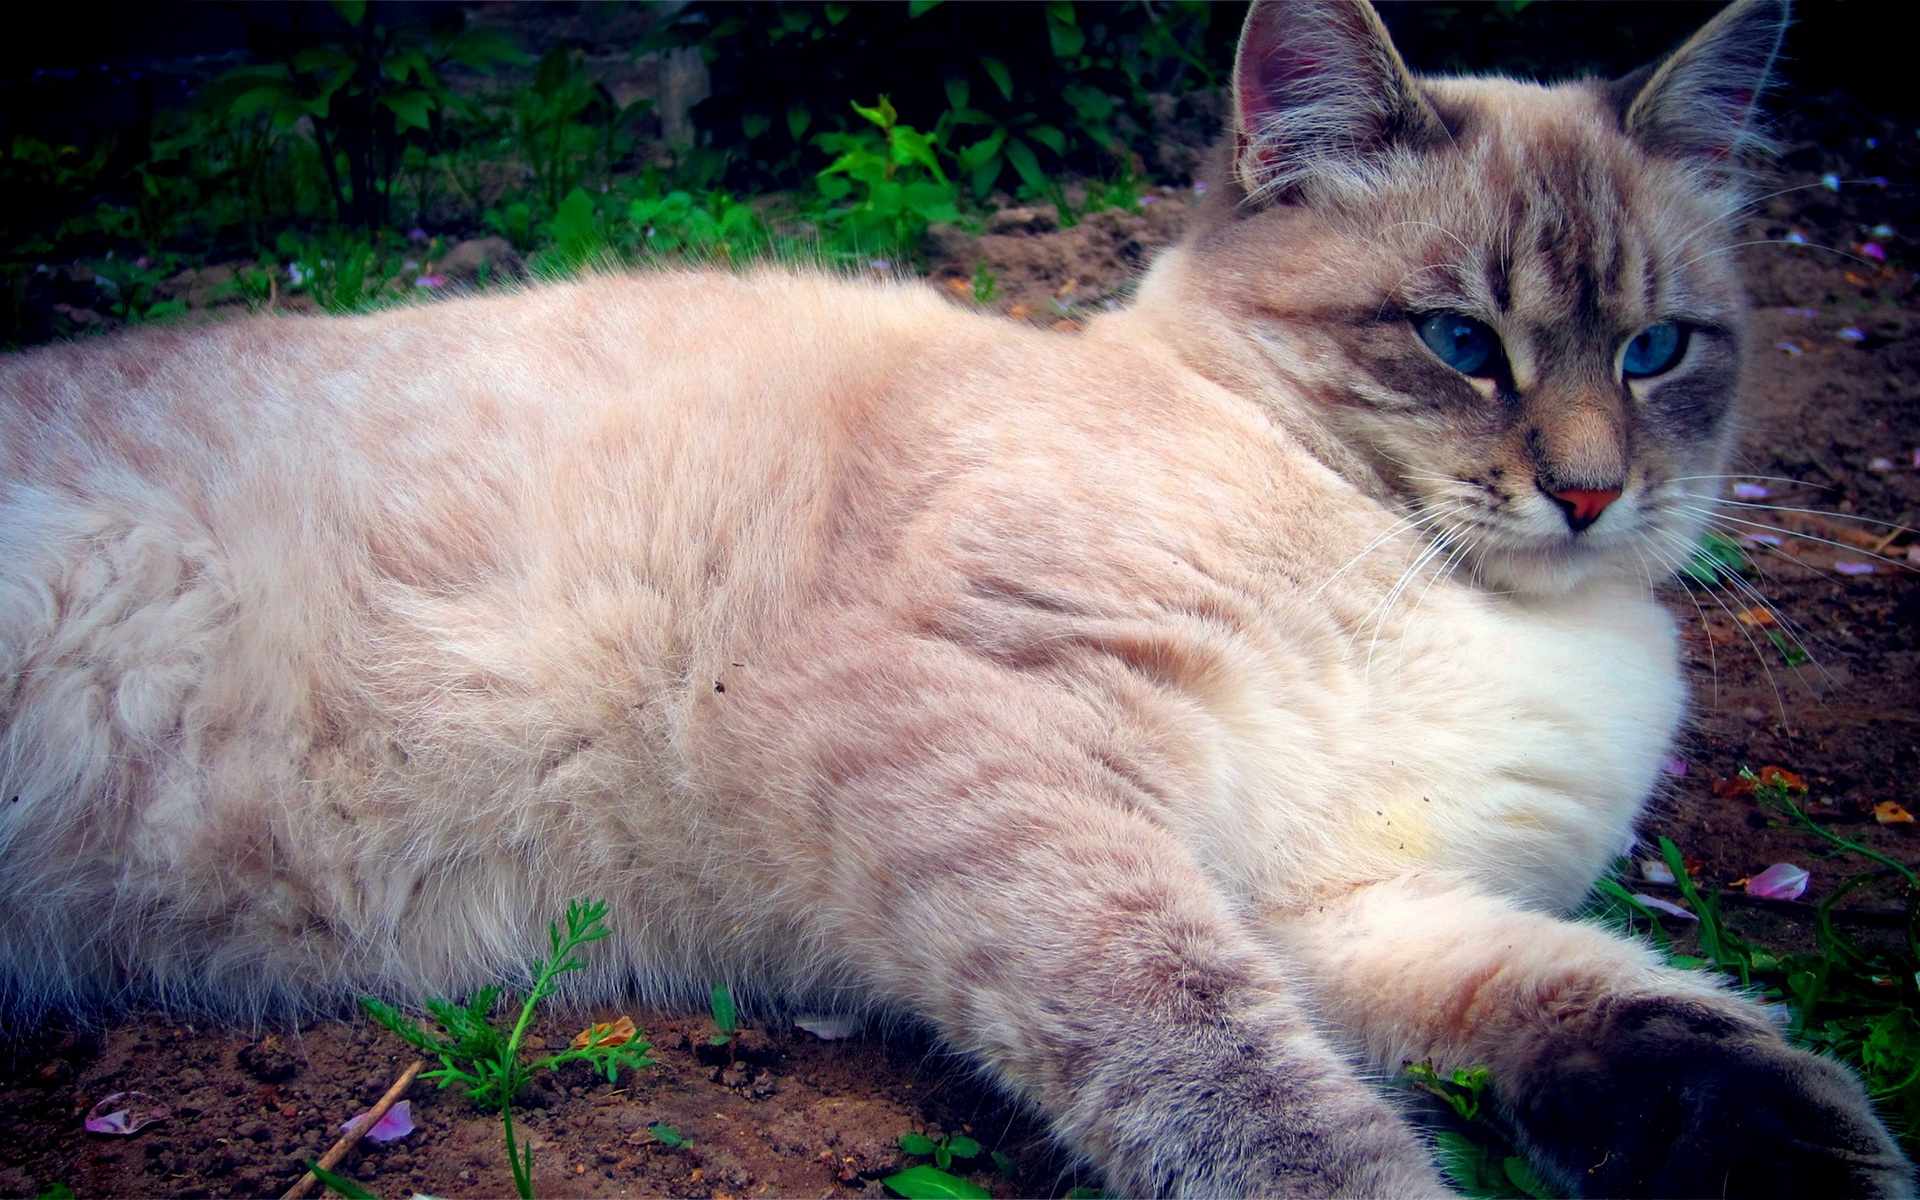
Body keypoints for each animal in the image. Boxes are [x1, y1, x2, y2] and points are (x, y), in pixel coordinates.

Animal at [0, 0, 1912, 1190]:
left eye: (1661, 352)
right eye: (1457, 343)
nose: (1590, 494)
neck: (1465, 603)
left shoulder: (1343, 902)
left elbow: (1615, 1006)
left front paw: (1809, 1151)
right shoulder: (1006, 757)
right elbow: (1234, 1072)